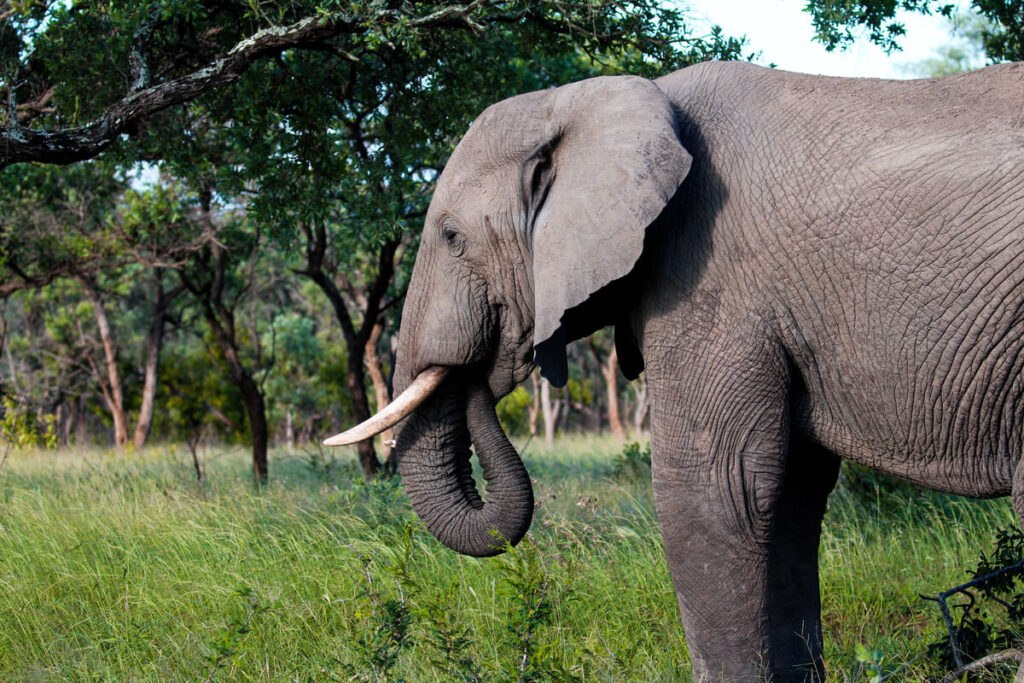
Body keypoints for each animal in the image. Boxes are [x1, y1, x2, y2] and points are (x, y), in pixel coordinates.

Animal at [323, 61, 1024, 679]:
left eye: (451, 237)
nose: (486, 367)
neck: (594, 101)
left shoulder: (710, 278)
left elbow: (718, 489)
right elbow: (790, 493)